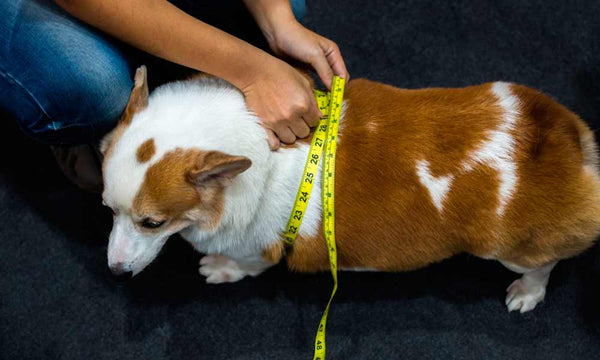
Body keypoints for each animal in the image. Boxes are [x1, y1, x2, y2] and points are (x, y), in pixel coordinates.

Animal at [101, 67, 600, 312]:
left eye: (152, 222)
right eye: (107, 209)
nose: (115, 274)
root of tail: (569, 141)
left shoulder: (258, 249)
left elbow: (245, 266)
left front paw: (219, 269)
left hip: (509, 250)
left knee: (545, 264)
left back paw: (526, 294)